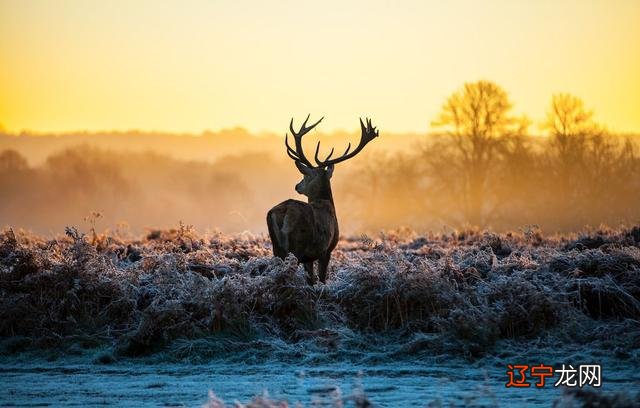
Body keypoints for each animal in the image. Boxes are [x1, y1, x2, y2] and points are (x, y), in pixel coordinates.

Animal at [266, 115, 378, 284]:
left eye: (305, 176)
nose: (297, 186)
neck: (327, 203)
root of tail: (282, 212)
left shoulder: (310, 257)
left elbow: (311, 280)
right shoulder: (326, 250)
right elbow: (322, 279)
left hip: (276, 247)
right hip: (297, 245)